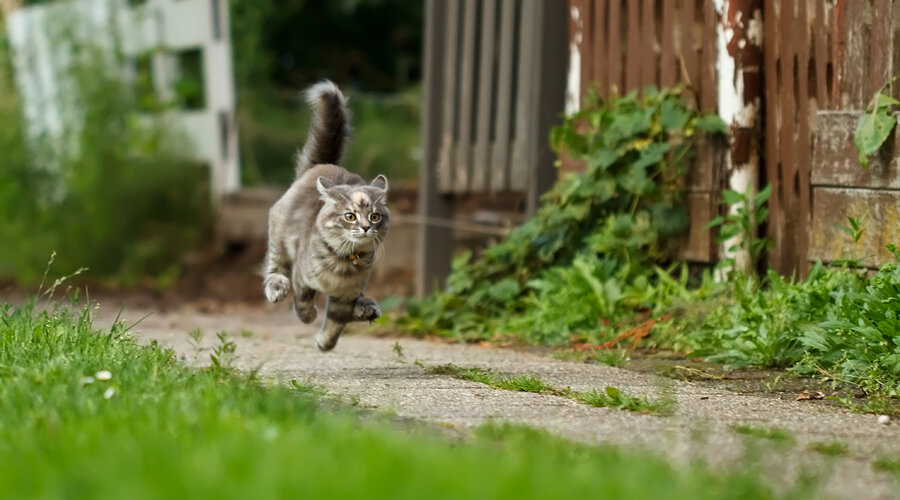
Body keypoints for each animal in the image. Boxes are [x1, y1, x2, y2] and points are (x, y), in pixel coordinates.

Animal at [260, 80, 386, 352]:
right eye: (350, 216)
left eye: (374, 217)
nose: (365, 228)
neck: (343, 262)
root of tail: (321, 166)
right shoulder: (302, 278)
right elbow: (303, 304)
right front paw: (310, 316)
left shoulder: (347, 294)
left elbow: (337, 320)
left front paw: (326, 343)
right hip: (280, 241)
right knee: (274, 269)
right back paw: (277, 288)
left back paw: (366, 308)